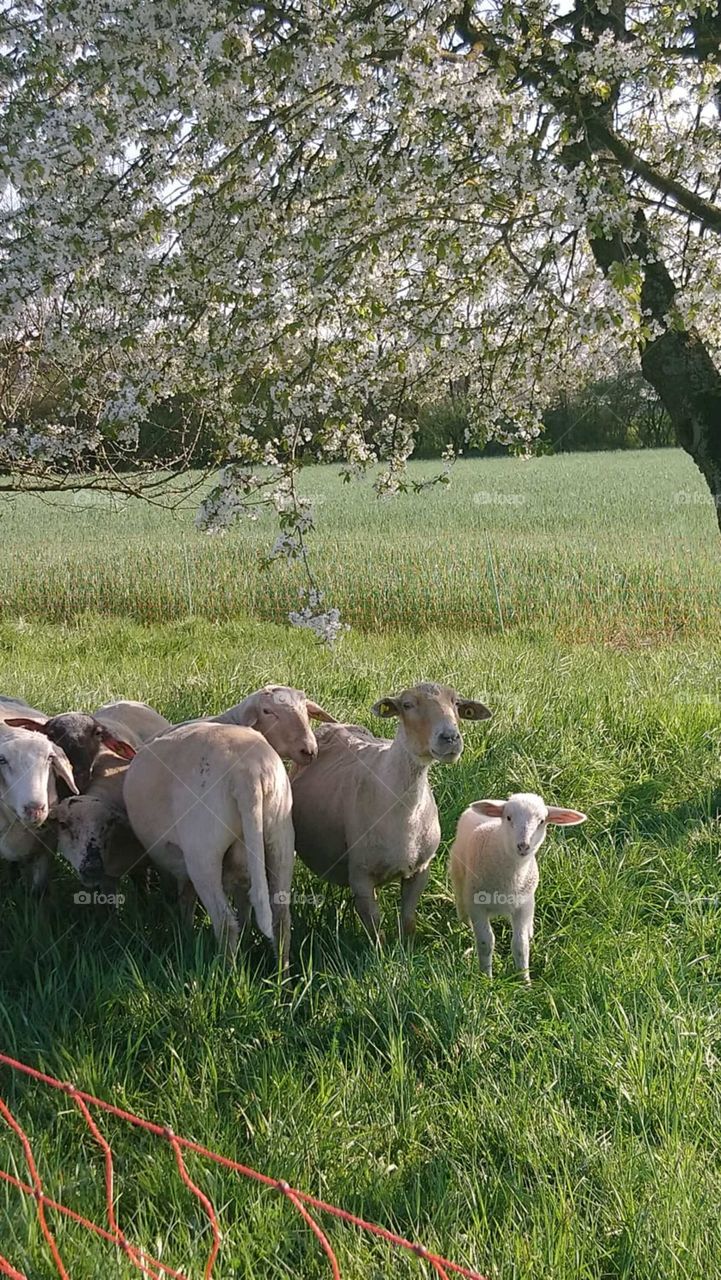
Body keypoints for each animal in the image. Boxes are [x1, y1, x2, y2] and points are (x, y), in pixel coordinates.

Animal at [123, 722, 295, 965]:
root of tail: (248, 774)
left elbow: (186, 898)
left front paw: (184, 934)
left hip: (203, 851)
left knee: (225, 922)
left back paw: (226, 971)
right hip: (280, 838)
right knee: (280, 917)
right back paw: (282, 972)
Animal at [290, 682, 492, 942]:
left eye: (456, 703)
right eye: (407, 705)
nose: (450, 738)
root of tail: (336, 725)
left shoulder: (421, 869)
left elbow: (408, 919)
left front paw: (406, 948)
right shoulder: (361, 876)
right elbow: (376, 931)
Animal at [450, 792, 587, 982]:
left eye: (542, 821)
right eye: (508, 817)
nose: (523, 846)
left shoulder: (522, 906)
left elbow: (521, 945)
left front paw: (524, 980)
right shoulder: (477, 905)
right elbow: (486, 942)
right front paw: (486, 979)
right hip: (458, 874)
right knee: (460, 901)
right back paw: (464, 926)